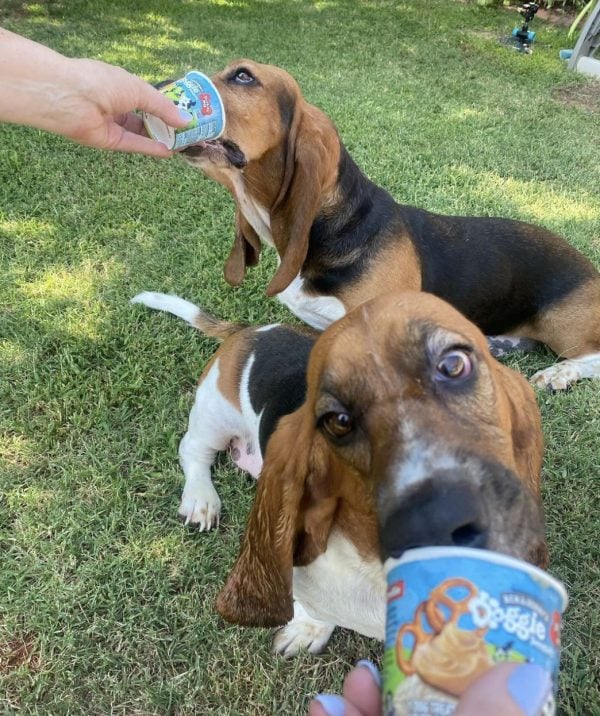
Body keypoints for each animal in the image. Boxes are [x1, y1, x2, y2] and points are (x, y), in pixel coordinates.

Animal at [131, 290, 548, 656]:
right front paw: (307, 629)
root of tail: (251, 331)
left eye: (453, 365)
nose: (440, 518)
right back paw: (201, 500)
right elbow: (311, 605)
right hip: (214, 416)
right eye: (338, 421)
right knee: (192, 451)